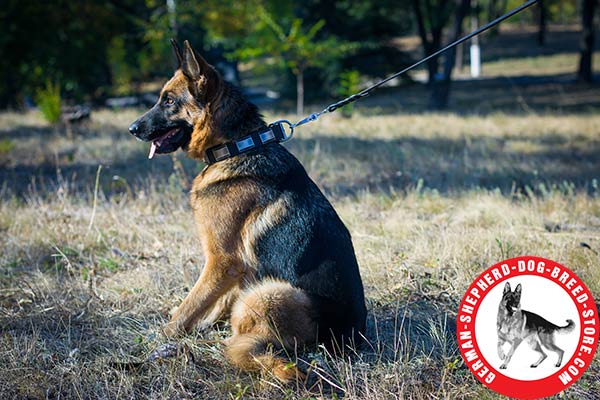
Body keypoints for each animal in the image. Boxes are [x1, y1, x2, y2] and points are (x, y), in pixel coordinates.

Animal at [127, 40, 366, 382]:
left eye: (169, 100)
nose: (131, 128)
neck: (238, 146)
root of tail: (347, 338)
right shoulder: (236, 270)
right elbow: (212, 303)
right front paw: (197, 329)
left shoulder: (221, 261)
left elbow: (188, 306)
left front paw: (163, 337)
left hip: (268, 293)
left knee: (242, 346)